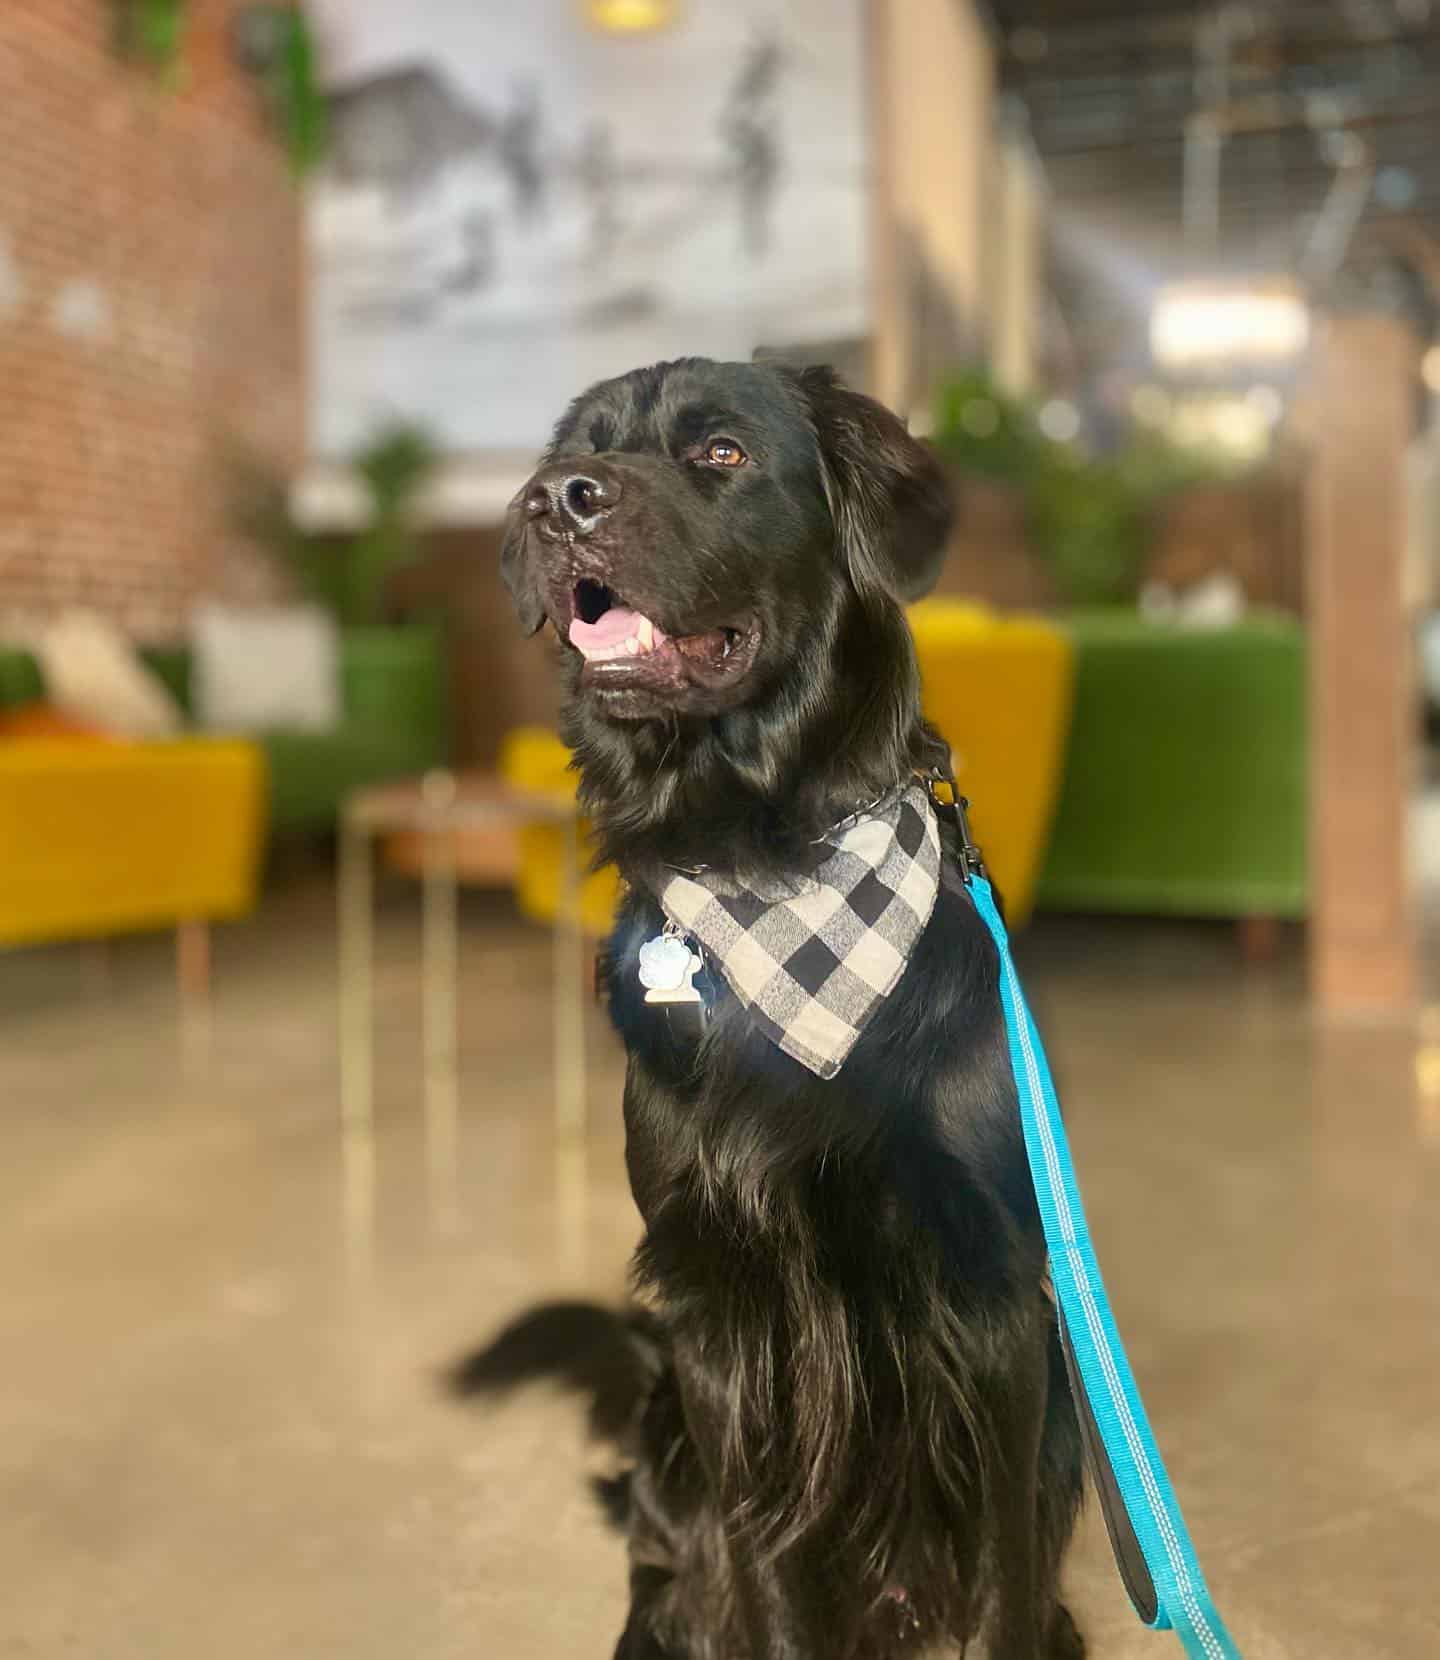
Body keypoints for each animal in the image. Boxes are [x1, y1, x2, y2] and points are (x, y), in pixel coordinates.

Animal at [458, 356, 1082, 1653]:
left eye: (723, 453)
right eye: (578, 448)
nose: (556, 499)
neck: (773, 875)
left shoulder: (996, 1299)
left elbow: (1002, 1580)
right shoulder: (722, 1314)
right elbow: (767, 1576)